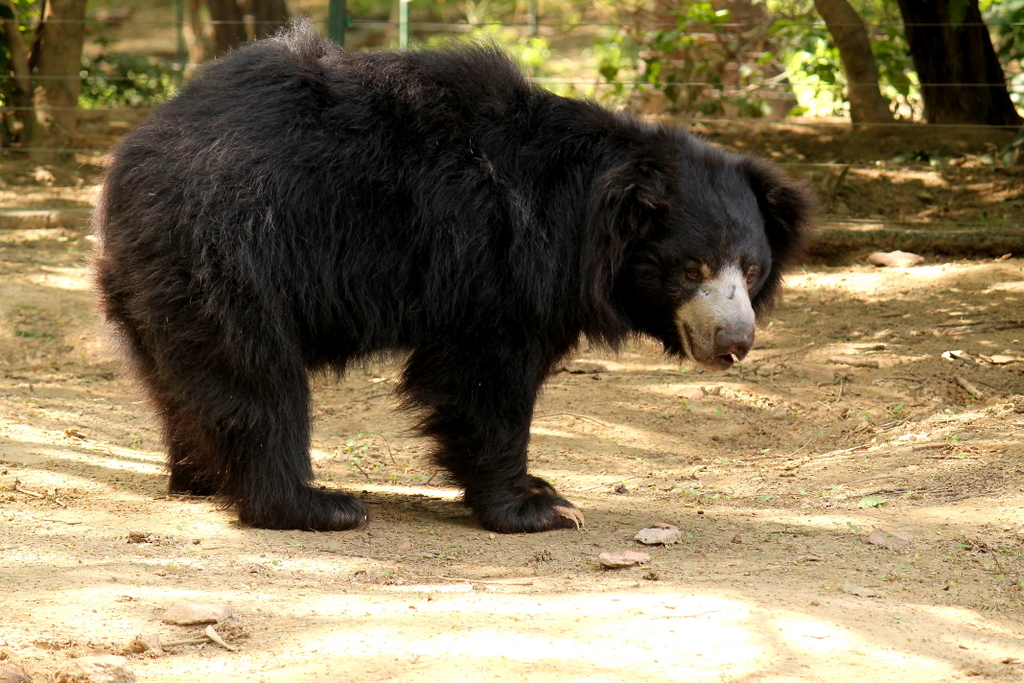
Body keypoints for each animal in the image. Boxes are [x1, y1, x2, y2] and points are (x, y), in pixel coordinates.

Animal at [94, 22, 815, 532]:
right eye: (691, 267)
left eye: (752, 269)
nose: (735, 342)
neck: (583, 220)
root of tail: (132, 158)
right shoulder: (496, 261)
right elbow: (483, 379)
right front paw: (536, 507)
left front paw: (544, 492)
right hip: (232, 253)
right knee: (255, 374)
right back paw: (314, 504)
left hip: (155, 281)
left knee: (180, 380)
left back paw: (203, 478)